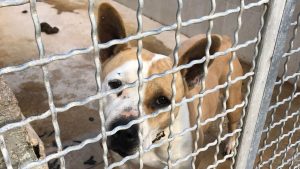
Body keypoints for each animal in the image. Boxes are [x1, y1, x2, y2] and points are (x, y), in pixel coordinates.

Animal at [98, 2, 244, 169]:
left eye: (162, 100)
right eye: (115, 84)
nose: (123, 131)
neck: (156, 140)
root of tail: (225, 39)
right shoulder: (121, 162)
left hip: (232, 98)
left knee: (233, 121)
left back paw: (231, 144)